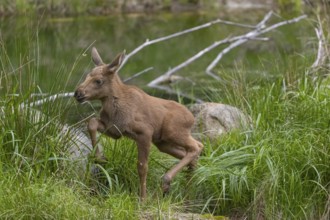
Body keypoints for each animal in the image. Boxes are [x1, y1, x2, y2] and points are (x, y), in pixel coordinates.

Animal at [74, 47, 204, 199]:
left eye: (98, 81)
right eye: (87, 76)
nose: (77, 93)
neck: (113, 109)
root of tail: (191, 118)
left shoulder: (145, 132)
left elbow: (142, 167)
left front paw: (142, 199)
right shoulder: (114, 130)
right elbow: (92, 122)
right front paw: (100, 158)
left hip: (173, 133)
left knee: (197, 146)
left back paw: (167, 181)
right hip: (162, 142)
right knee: (190, 154)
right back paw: (186, 193)